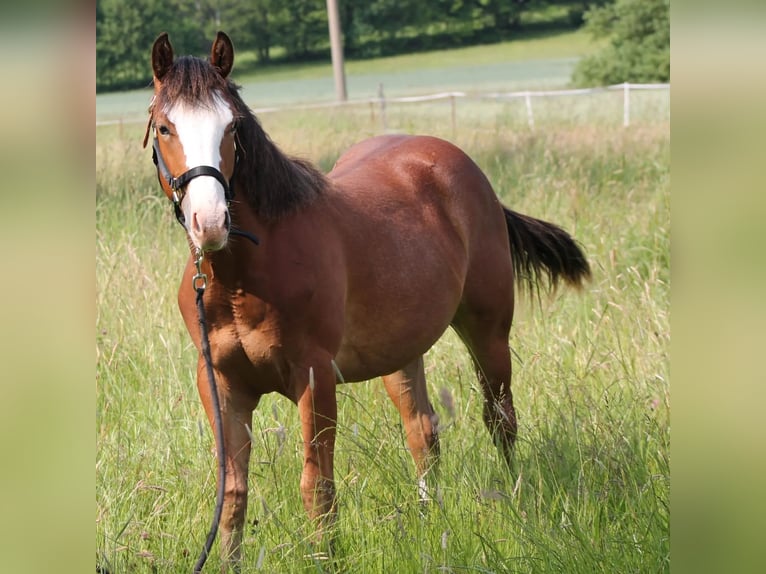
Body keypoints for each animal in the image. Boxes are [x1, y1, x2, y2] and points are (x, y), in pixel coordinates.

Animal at [146, 31, 592, 572]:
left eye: (231, 126)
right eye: (165, 126)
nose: (210, 222)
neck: (242, 279)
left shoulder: (313, 378)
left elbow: (317, 486)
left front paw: (326, 558)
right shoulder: (220, 383)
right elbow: (232, 492)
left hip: (488, 330)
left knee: (499, 418)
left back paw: (513, 499)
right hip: (401, 352)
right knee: (424, 431)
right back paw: (427, 522)